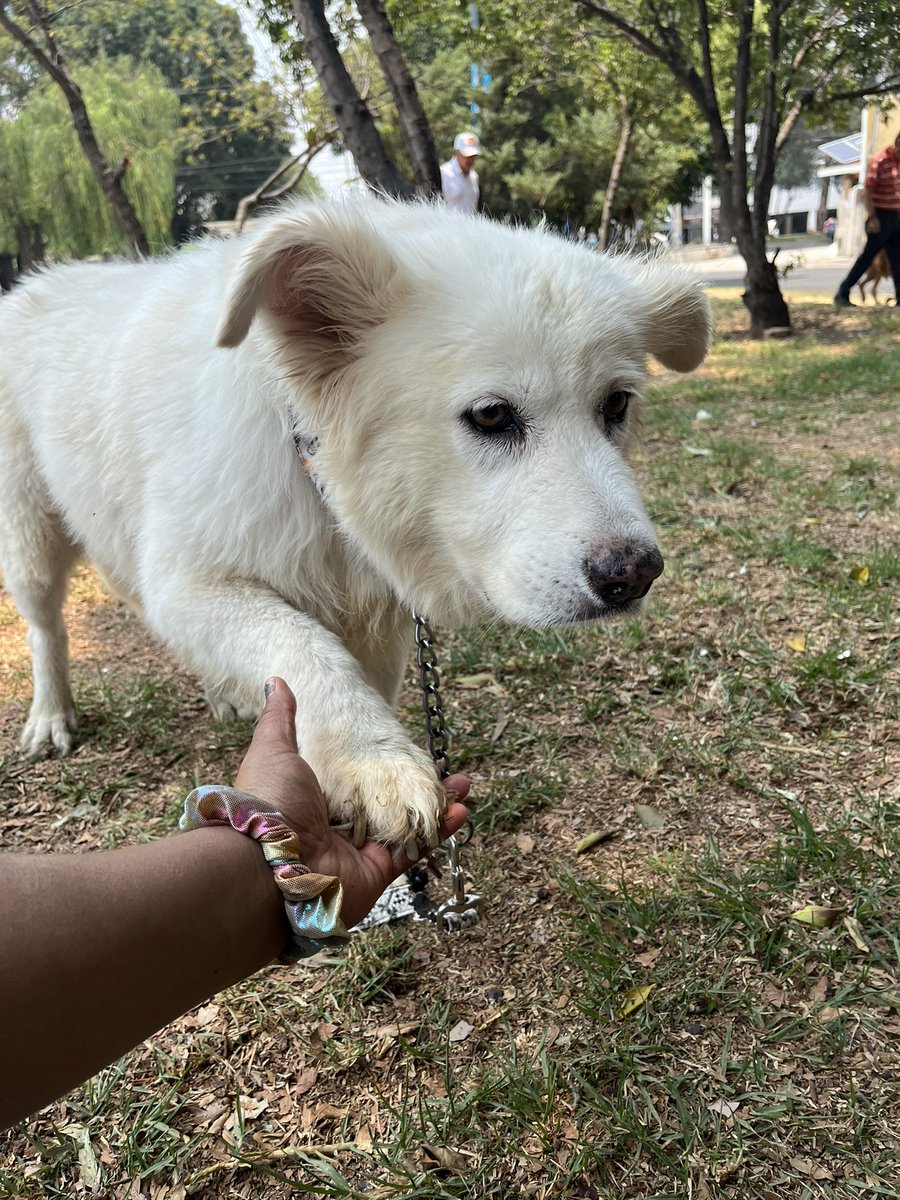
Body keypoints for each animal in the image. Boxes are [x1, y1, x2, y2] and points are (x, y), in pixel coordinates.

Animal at [0, 199, 710, 854]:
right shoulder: (192, 583)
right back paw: (50, 717)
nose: (636, 574)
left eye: (615, 405)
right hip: (31, 542)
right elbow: (303, 647)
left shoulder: (378, 618)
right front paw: (372, 760)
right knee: (46, 627)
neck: (316, 473)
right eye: (490, 415)